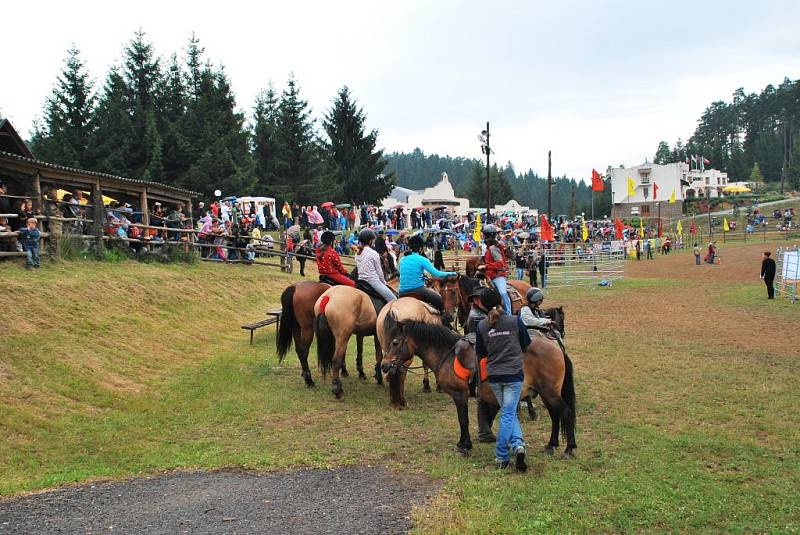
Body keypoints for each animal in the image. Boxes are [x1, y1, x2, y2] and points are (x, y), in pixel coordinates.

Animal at [380, 300, 576, 458]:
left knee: (565, 413)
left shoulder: (459, 395)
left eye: (395, 343)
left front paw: (464, 445)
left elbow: (463, 420)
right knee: (555, 415)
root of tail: (556, 349)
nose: (384, 365)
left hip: (549, 392)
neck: (448, 355)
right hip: (545, 392)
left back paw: (569, 449)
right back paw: (551, 445)